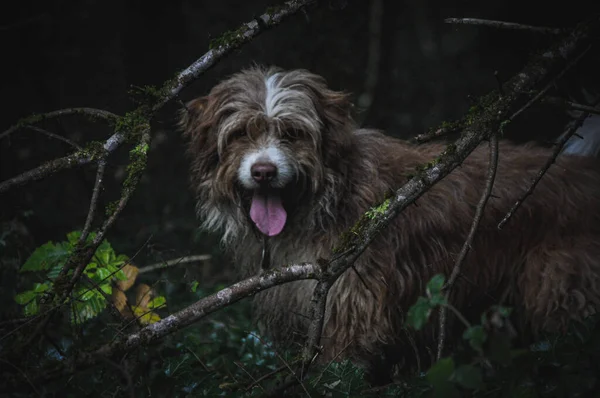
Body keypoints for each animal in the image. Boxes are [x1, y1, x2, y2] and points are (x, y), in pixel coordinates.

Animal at [180, 67, 600, 380]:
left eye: (293, 133)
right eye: (239, 133)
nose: (264, 171)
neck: (323, 200)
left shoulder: (351, 307)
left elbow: (338, 373)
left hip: (562, 294)